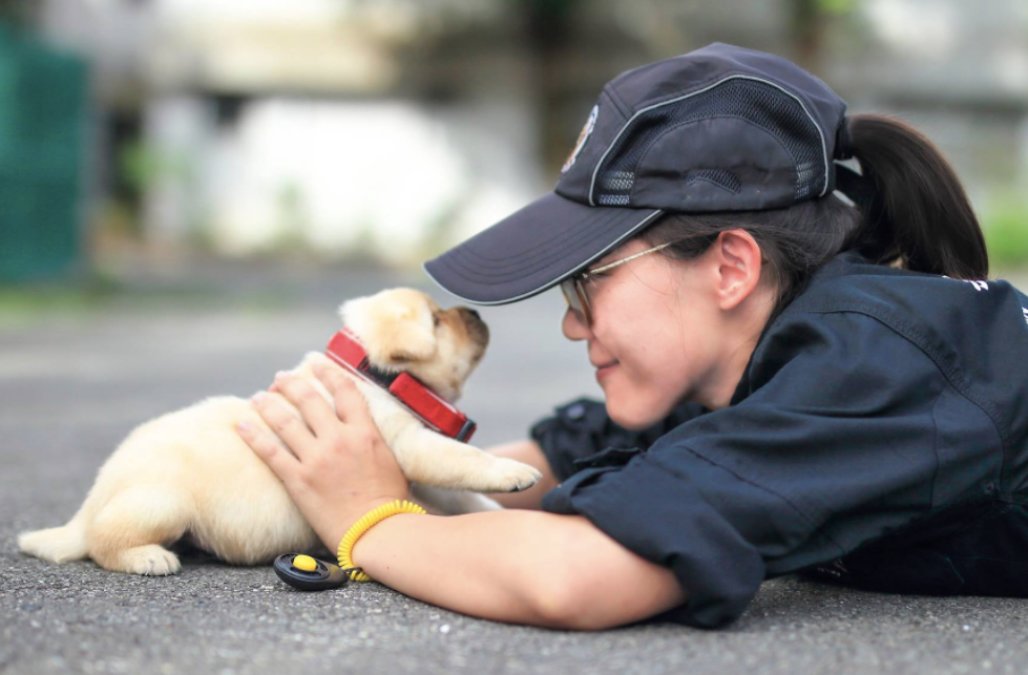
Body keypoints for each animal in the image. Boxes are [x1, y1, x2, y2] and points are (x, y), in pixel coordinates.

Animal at [20, 285, 542, 575]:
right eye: (436, 320)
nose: (475, 313)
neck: (375, 375)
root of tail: (86, 508)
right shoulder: (414, 446)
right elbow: (464, 460)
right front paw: (513, 472)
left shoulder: (421, 470)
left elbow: (464, 496)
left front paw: (498, 504)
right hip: (160, 503)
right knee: (103, 542)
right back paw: (148, 558)